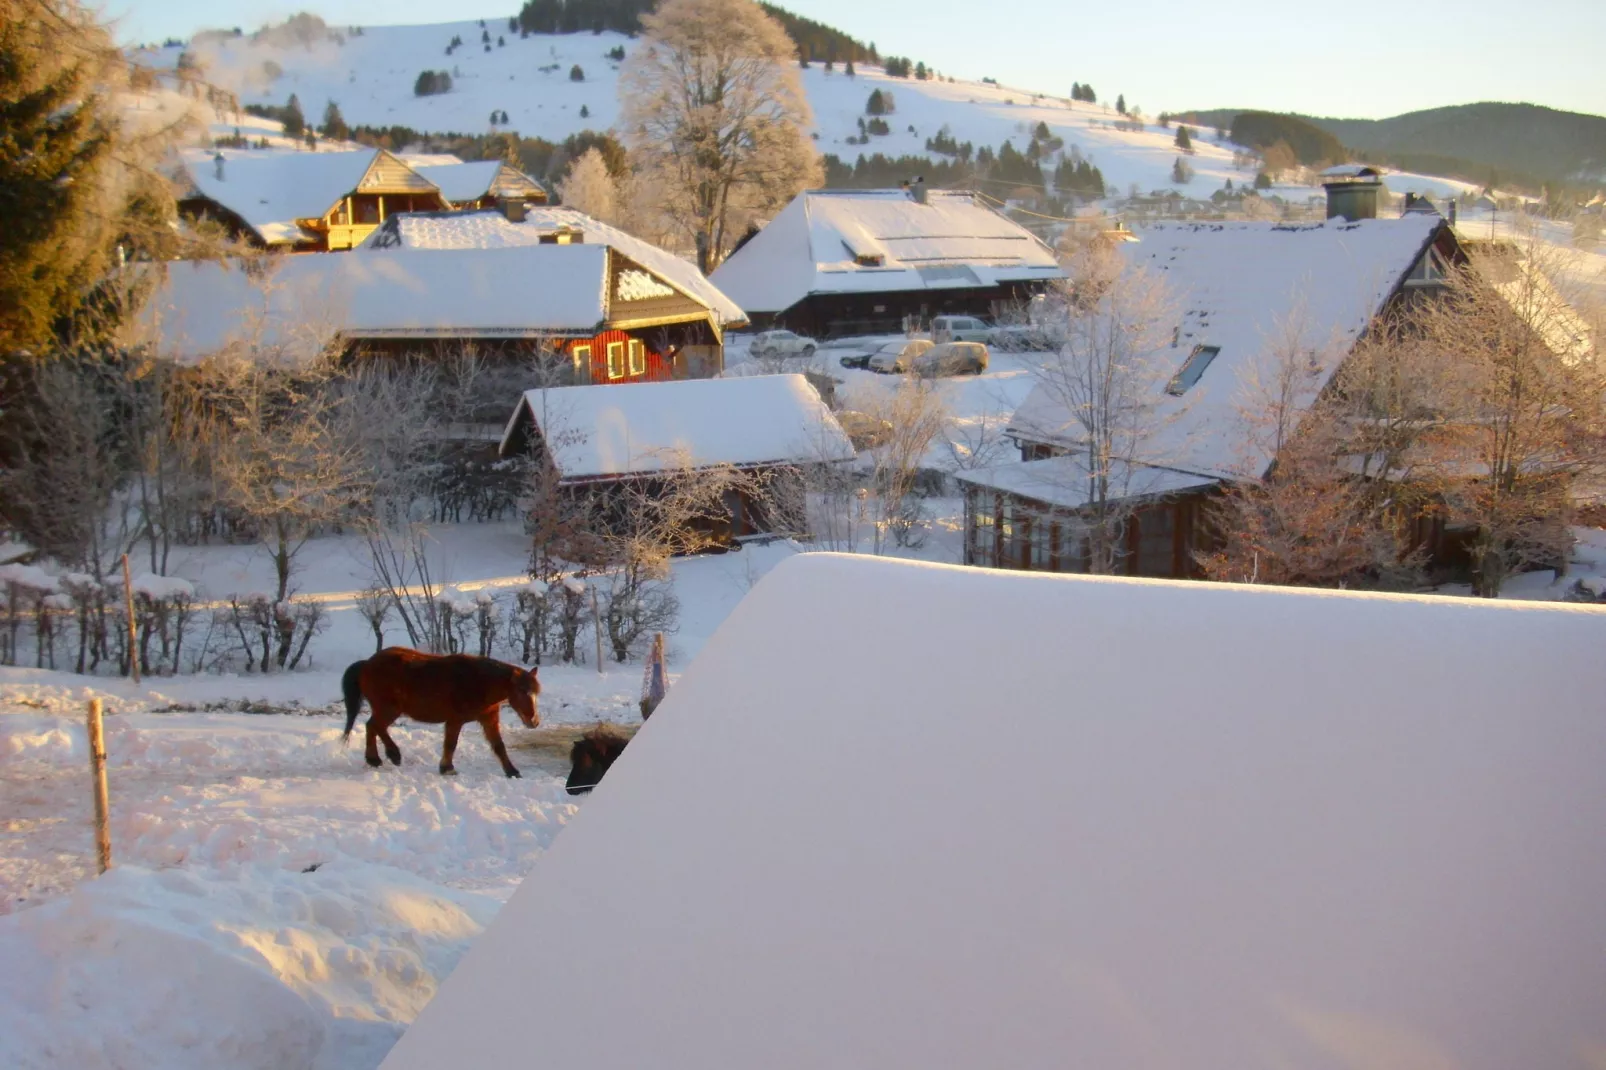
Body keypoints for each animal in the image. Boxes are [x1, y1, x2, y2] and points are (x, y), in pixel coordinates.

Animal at [338, 642, 539, 774]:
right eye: (521, 691)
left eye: (535, 692)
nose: (534, 721)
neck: (478, 681)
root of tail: (367, 663)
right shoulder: (455, 720)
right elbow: (450, 744)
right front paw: (447, 768)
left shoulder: (489, 718)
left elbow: (499, 746)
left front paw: (512, 771)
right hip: (389, 710)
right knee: (375, 726)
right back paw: (392, 755)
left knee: (372, 727)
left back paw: (374, 759)